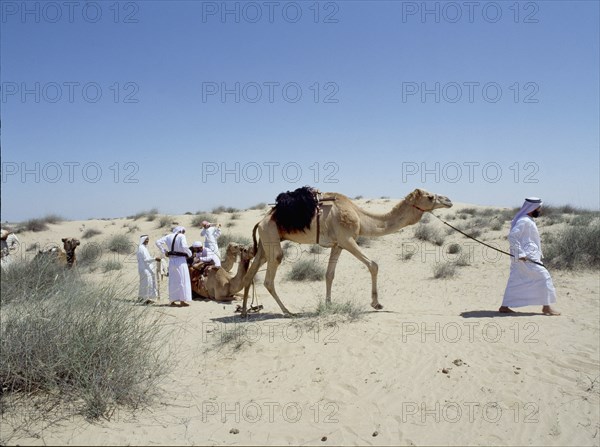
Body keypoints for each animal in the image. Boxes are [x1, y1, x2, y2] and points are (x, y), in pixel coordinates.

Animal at [238, 187, 450, 316]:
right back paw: (288, 312)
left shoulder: (337, 245)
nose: (448, 200)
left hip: (265, 242)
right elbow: (373, 264)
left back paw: (244, 312)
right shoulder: (347, 239)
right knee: (269, 277)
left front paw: (328, 305)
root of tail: (261, 221)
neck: (361, 218)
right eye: (430, 197)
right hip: (271, 238)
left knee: (251, 273)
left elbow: (329, 275)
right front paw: (376, 304)